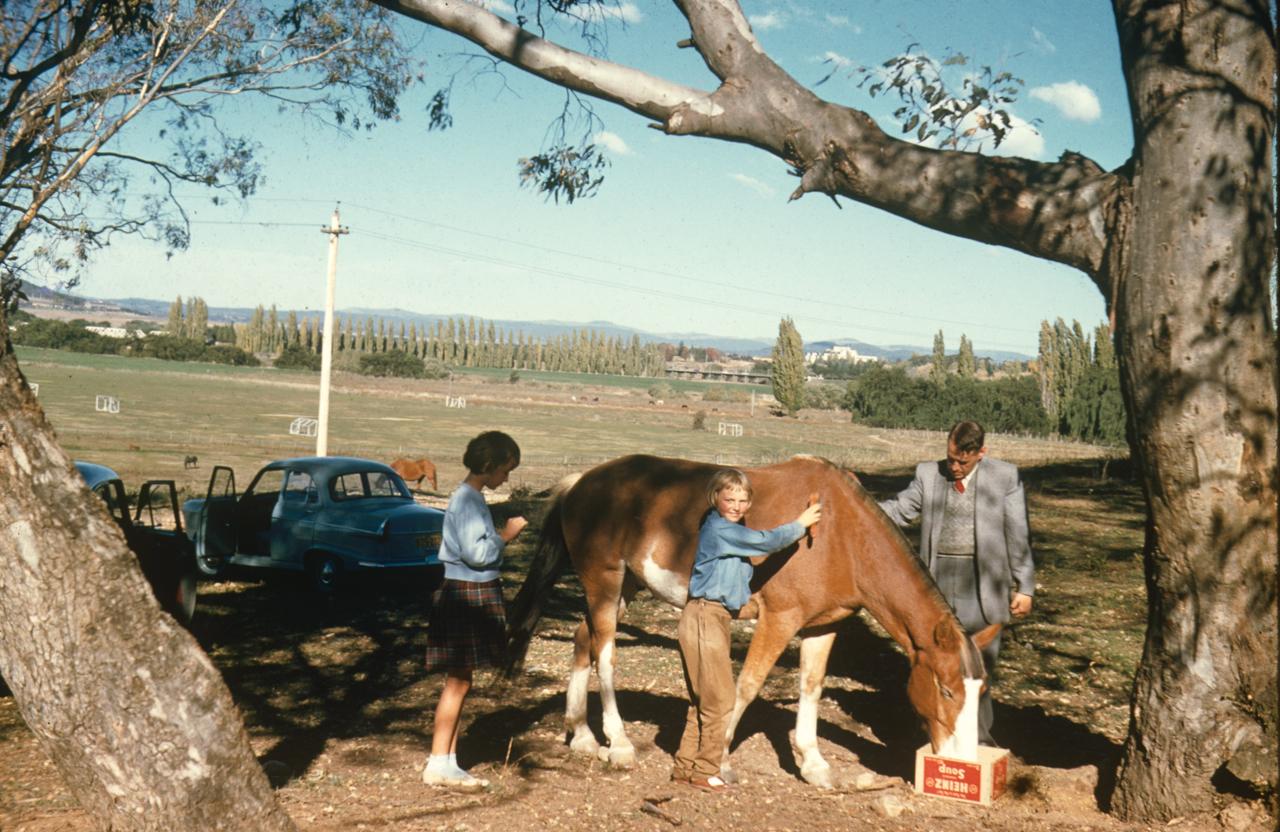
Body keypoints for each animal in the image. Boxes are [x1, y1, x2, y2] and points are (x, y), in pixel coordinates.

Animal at [504, 453, 993, 783]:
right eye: (947, 690)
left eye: (979, 690)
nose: (962, 760)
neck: (841, 534)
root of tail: (583, 480)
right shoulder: (779, 621)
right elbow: (748, 685)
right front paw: (719, 757)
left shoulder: (824, 625)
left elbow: (811, 687)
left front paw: (813, 763)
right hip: (604, 582)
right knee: (605, 653)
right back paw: (618, 743)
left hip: (625, 587)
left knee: (583, 639)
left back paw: (583, 736)